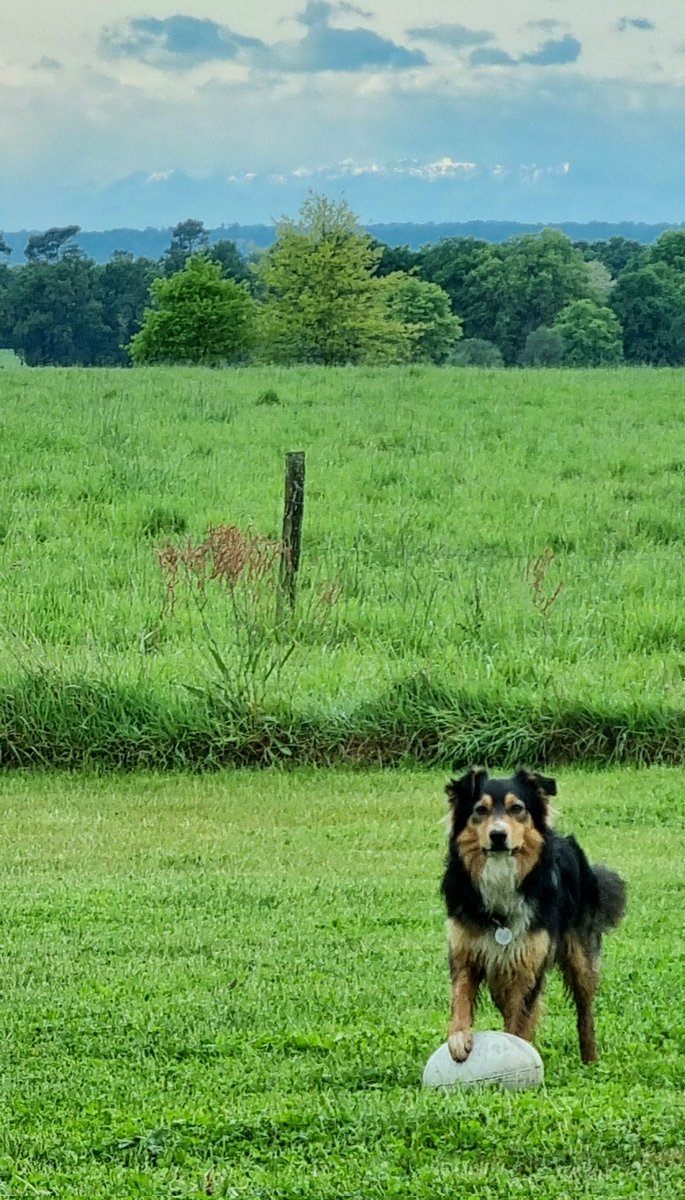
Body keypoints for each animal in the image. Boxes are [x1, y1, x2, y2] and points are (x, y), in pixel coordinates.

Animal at [443, 763, 628, 1065]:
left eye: (517, 808)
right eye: (480, 810)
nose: (498, 835)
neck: (502, 877)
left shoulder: (528, 963)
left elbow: (520, 1021)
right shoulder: (466, 950)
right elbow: (460, 996)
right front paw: (458, 1037)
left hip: (581, 958)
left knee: (585, 1011)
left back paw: (590, 1059)